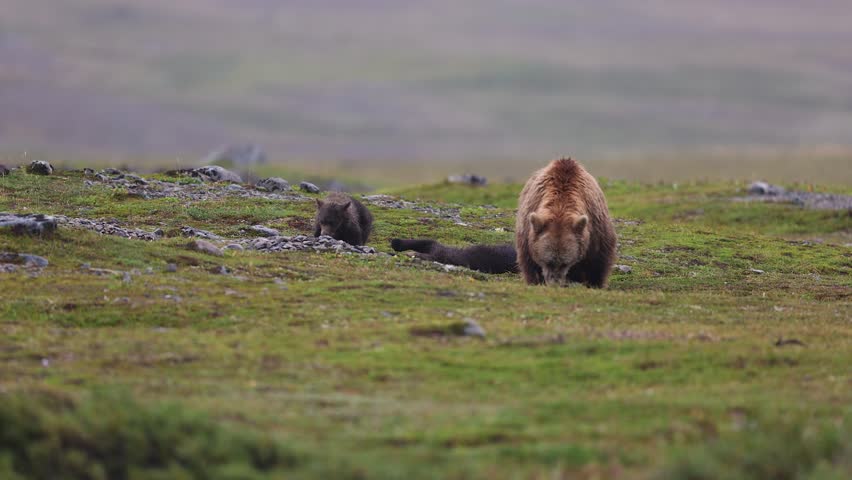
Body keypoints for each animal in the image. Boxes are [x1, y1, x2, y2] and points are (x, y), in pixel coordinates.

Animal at [515, 158, 616, 288]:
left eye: (565, 263)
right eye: (548, 262)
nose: (555, 283)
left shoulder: (596, 227)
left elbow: (598, 261)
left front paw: (595, 284)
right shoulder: (527, 232)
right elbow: (529, 263)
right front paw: (535, 281)